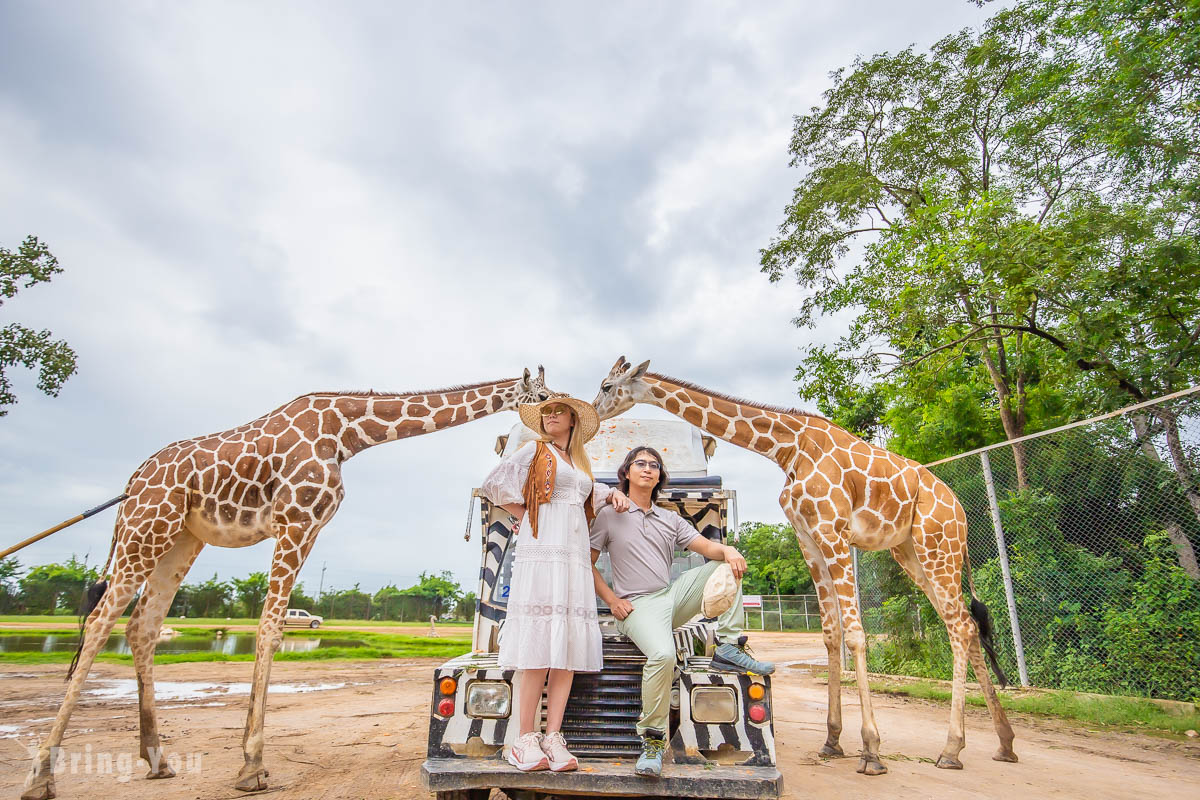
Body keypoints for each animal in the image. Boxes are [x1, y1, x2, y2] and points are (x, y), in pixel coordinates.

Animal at [23, 369, 549, 800]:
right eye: (543, 395)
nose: (558, 412)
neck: (348, 432)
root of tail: (132, 482)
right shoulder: (295, 520)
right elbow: (270, 627)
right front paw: (252, 766)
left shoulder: (310, 526)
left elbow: (267, 625)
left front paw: (247, 758)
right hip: (147, 530)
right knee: (99, 622)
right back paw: (40, 776)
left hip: (181, 541)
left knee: (142, 628)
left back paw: (157, 760)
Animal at [595, 357, 1017, 777]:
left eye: (606, 386)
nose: (594, 413)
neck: (788, 447)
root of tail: (959, 507)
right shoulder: (809, 539)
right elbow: (831, 634)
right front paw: (832, 741)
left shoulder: (833, 530)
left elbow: (855, 634)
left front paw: (871, 751)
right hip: (911, 553)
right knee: (963, 624)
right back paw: (1001, 743)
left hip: (937, 546)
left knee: (959, 626)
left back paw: (952, 748)